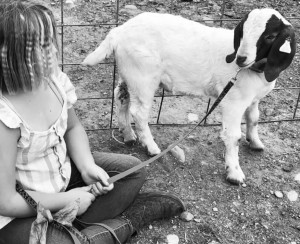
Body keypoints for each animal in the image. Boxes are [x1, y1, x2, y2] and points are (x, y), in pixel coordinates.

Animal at [82, 8, 296, 184]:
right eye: (242, 31)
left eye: (271, 36)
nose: (241, 58)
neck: (256, 70)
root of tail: (119, 32)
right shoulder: (233, 102)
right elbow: (233, 136)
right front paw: (234, 173)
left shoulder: (252, 99)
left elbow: (253, 119)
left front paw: (256, 142)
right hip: (143, 77)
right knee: (139, 113)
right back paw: (151, 147)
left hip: (129, 74)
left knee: (121, 96)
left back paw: (128, 135)